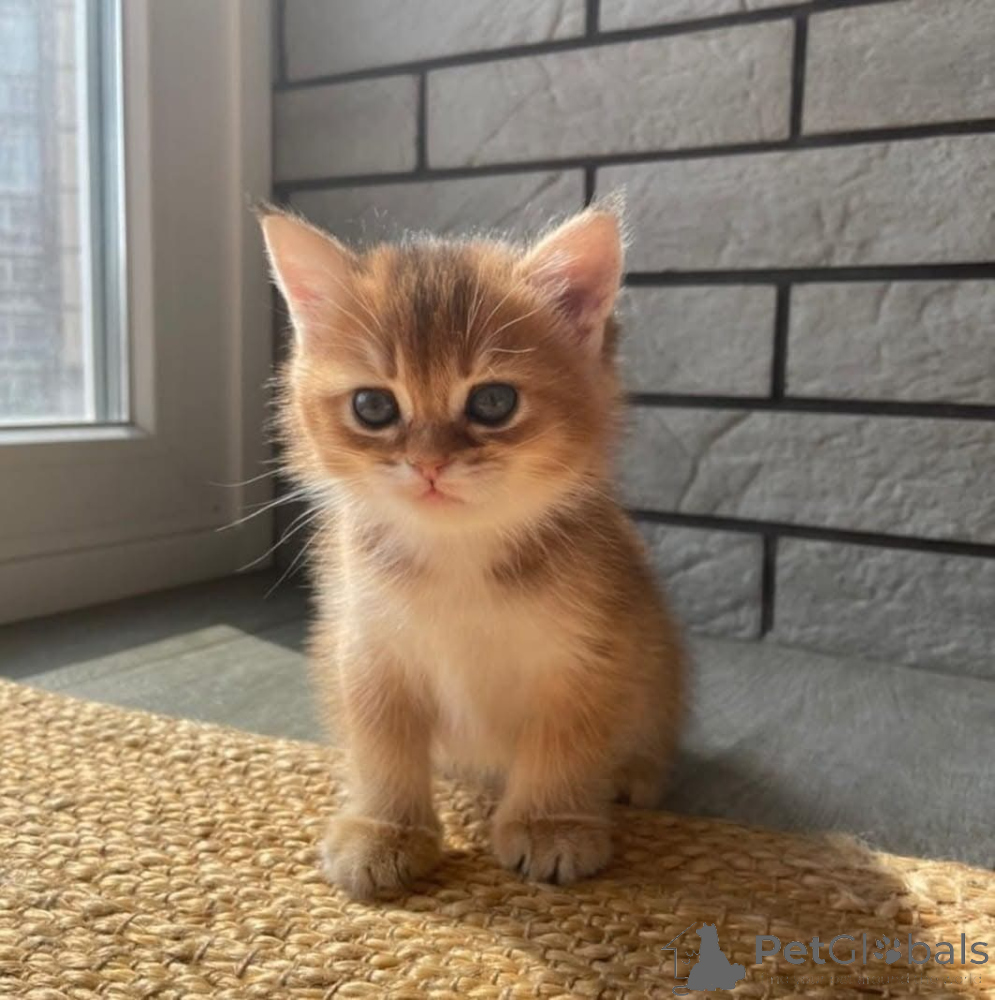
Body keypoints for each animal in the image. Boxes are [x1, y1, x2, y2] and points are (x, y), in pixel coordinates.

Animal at [259, 203, 686, 898]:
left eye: (492, 401)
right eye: (373, 406)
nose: (430, 463)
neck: (456, 553)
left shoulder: (587, 655)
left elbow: (565, 745)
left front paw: (551, 824)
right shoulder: (368, 649)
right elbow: (382, 748)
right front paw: (384, 830)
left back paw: (633, 775)